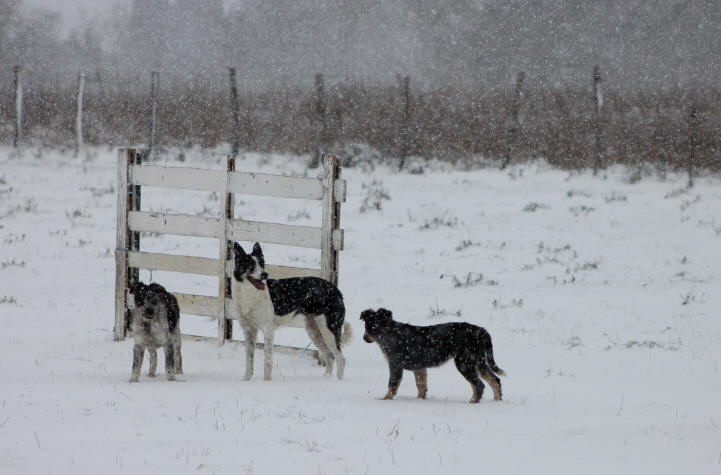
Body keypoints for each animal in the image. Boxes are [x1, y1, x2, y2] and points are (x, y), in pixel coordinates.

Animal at [360, 308, 506, 406]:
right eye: (366, 325)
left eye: (372, 327)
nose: (364, 338)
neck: (389, 333)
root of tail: (481, 331)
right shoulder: (419, 367)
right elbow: (421, 385)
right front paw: (420, 400)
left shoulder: (395, 364)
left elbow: (392, 384)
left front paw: (385, 399)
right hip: (479, 361)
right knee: (495, 380)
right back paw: (497, 402)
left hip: (464, 362)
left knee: (479, 385)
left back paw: (472, 402)